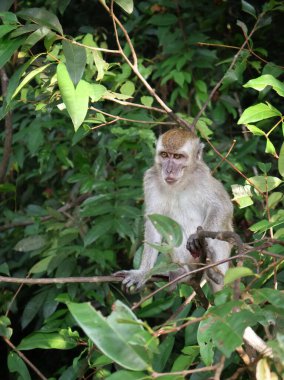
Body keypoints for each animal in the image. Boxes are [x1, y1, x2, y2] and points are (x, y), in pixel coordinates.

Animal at [120, 129, 233, 292]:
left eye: (178, 157)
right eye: (165, 155)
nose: (169, 170)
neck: (181, 183)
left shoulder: (203, 177)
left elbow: (222, 207)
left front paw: (196, 237)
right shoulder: (151, 179)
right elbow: (155, 222)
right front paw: (143, 272)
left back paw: (216, 273)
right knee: (172, 232)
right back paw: (182, 273)